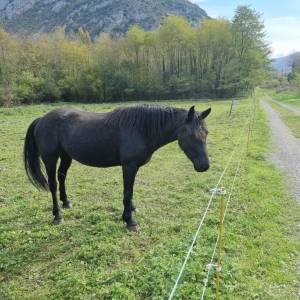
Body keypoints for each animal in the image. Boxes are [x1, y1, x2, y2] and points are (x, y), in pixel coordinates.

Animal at [23, 105, 211, 230]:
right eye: (191, 134)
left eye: (206, 133)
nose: (204, 166)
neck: (141, 129)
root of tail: (42, 119)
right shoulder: (129, 166)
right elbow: (127, 192)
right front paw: (129, 220)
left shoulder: (132, 168)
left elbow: (130, 191)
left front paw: (132, 209)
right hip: (50, 158)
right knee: (53, 184)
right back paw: (57, 215)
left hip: (66, 156)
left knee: (61, 177)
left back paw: (66, 202)